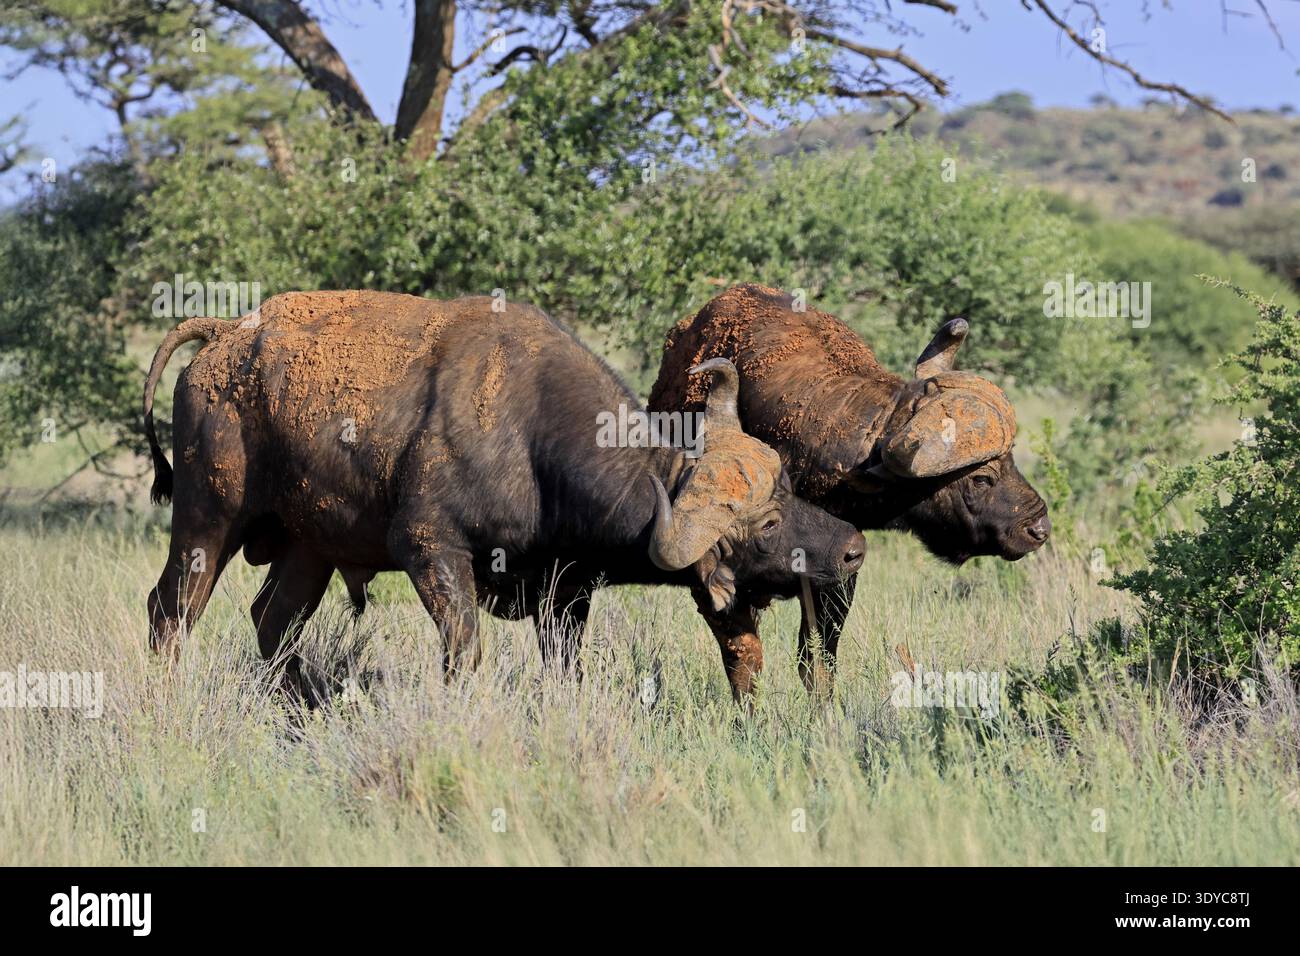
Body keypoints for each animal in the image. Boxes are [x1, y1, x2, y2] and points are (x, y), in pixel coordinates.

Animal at [142, 291, 864, 702]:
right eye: (765, 522)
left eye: (788, 485)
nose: (853, 549)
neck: (532, 436)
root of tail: (225, 337)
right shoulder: (429, 547)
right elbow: (464, 652)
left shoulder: (565, 592)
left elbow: (565, 671)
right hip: (208, 519)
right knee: (171, 611)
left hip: (309, 548)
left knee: (273, 620)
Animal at [649, 284, 1050, 692]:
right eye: (981, 478)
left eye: (1011, 459)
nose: (1038, 528)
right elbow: (744, 657)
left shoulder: (839, 574)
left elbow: (817, 657)